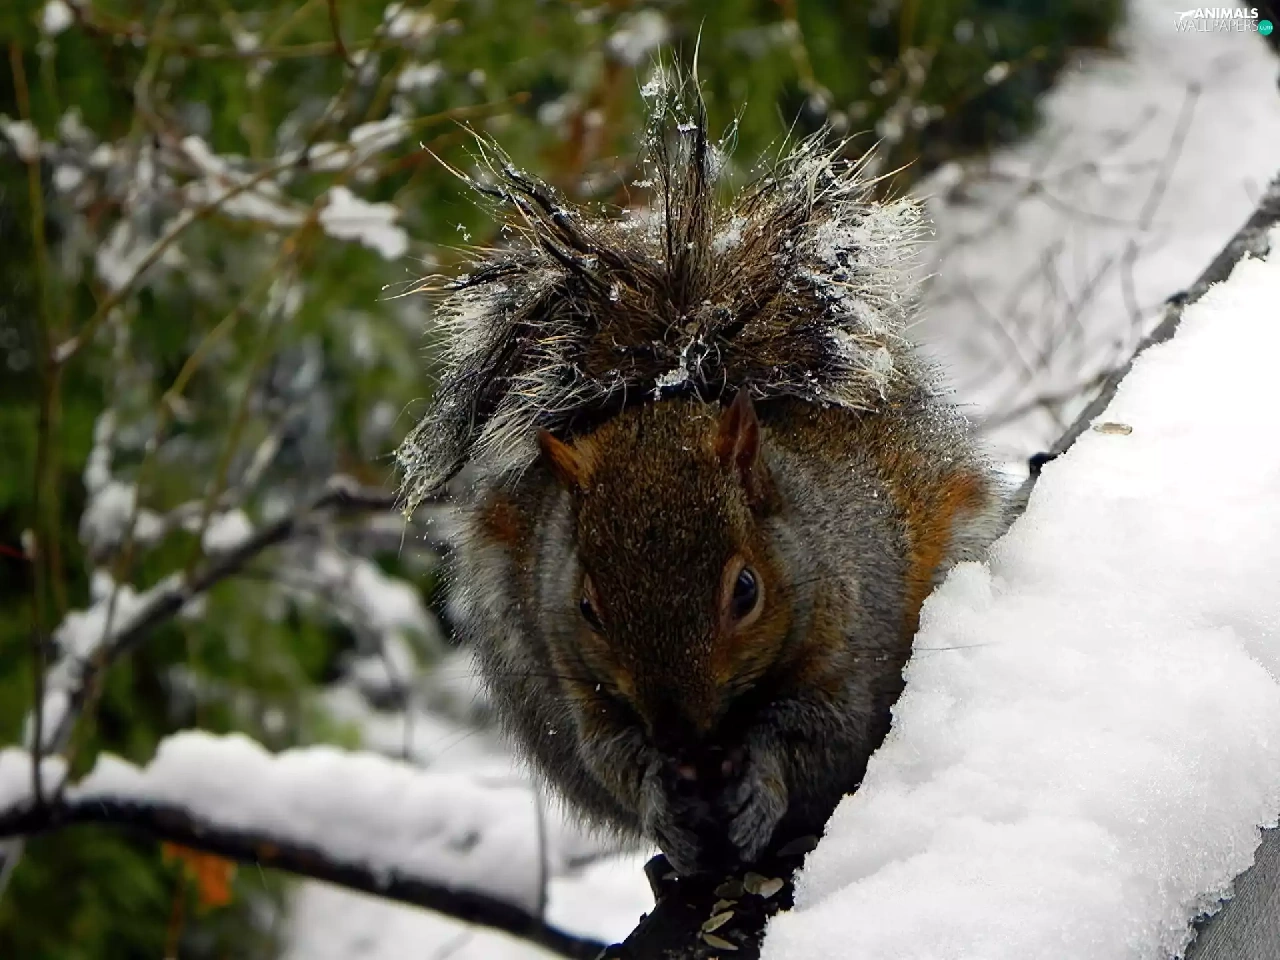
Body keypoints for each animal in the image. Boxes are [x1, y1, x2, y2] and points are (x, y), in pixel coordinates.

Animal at [397, 80, 1011, 876]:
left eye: (745, 592)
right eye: (588, 606)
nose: (682, 737)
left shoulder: (856, 637)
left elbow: (816, 733)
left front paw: (760, 788)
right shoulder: (569, 672)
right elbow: (610, 754)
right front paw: (663, 800)